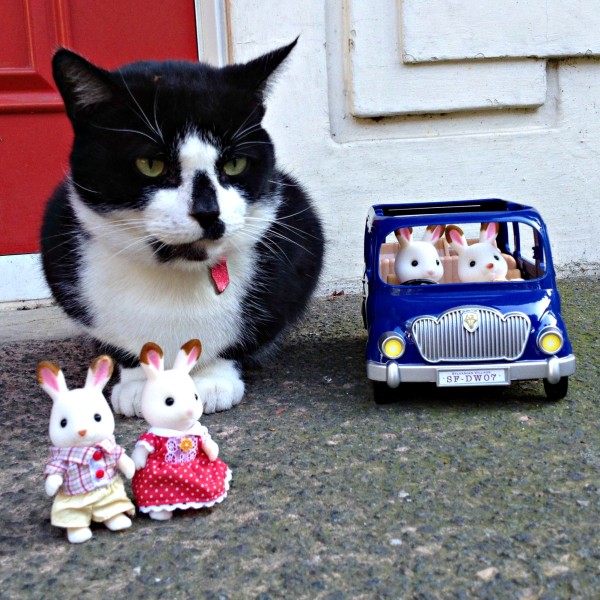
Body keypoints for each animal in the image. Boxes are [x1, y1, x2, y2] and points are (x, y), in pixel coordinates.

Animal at [41, 41, 324, 418]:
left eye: (235, 163)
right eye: (151, 164)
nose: (208, 212)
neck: (174, 277)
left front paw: (212, 380)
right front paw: (137, 383)